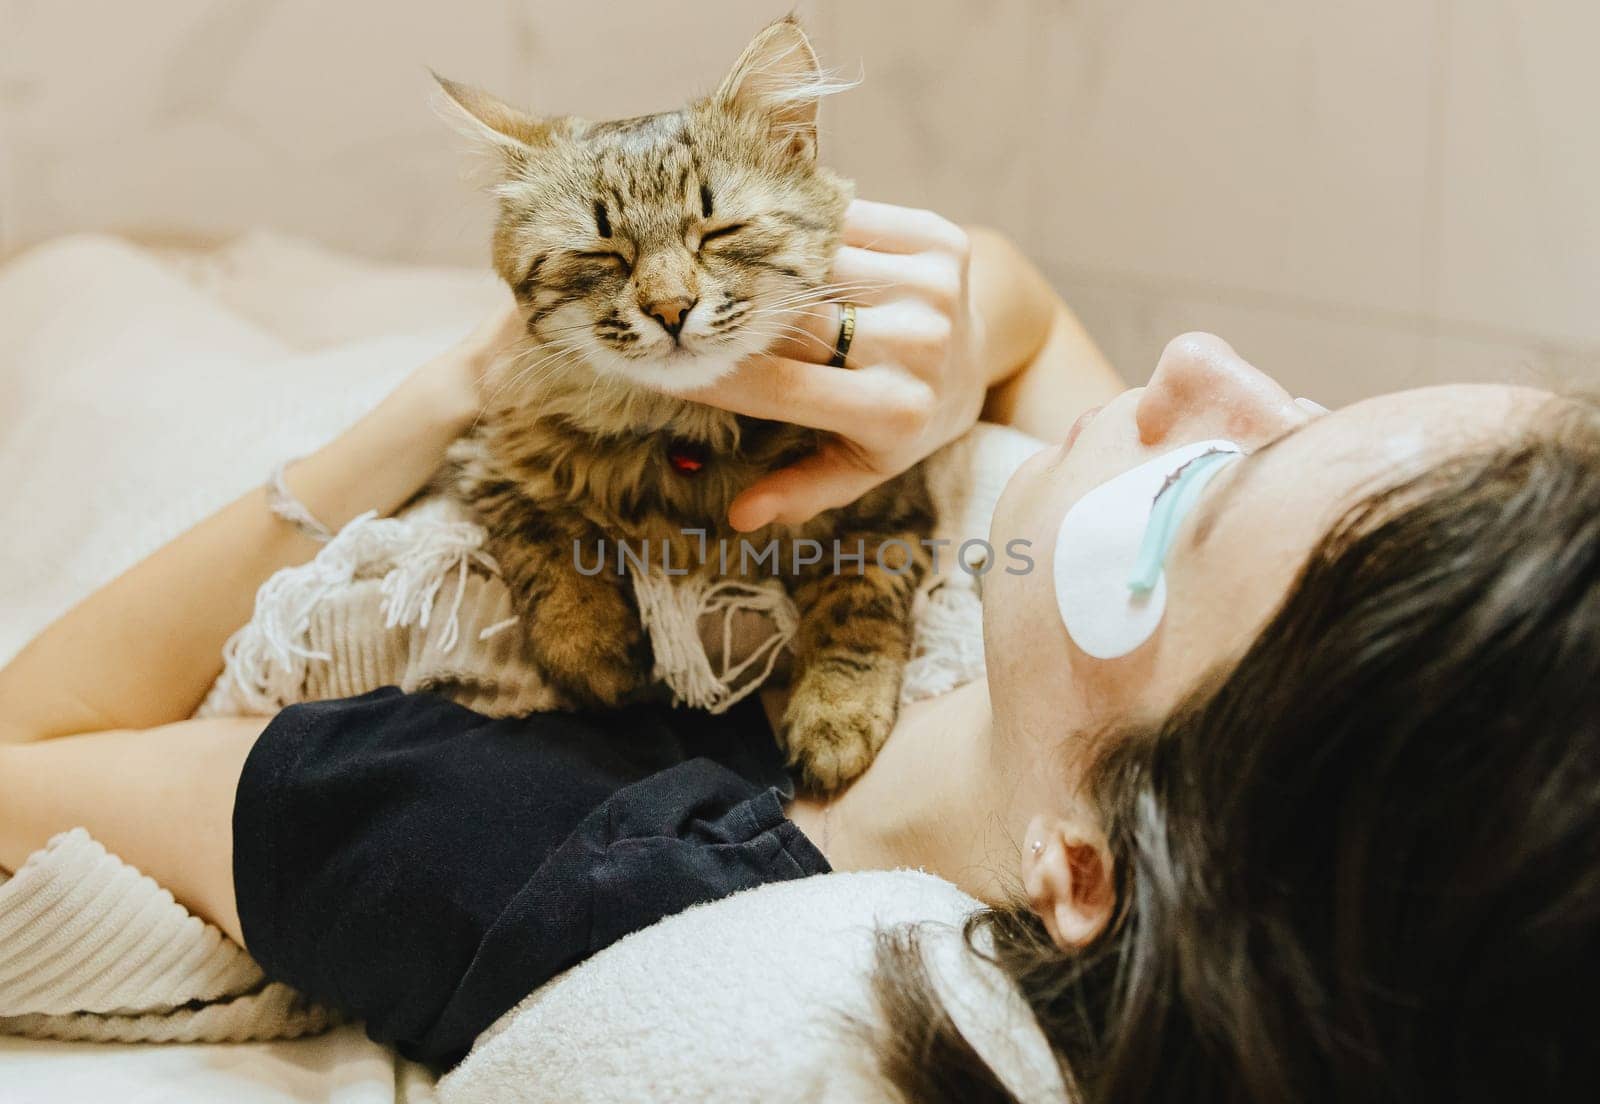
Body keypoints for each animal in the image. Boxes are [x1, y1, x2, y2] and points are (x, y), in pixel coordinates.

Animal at [438, 19, 934, 790]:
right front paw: (596, 656)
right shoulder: (490, 456)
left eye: (719, 232)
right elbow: (549, 549)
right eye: (602, 254)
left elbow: (859, 607)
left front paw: (836, 718)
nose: (671, 309)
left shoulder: (891, 506)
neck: (690, 437)